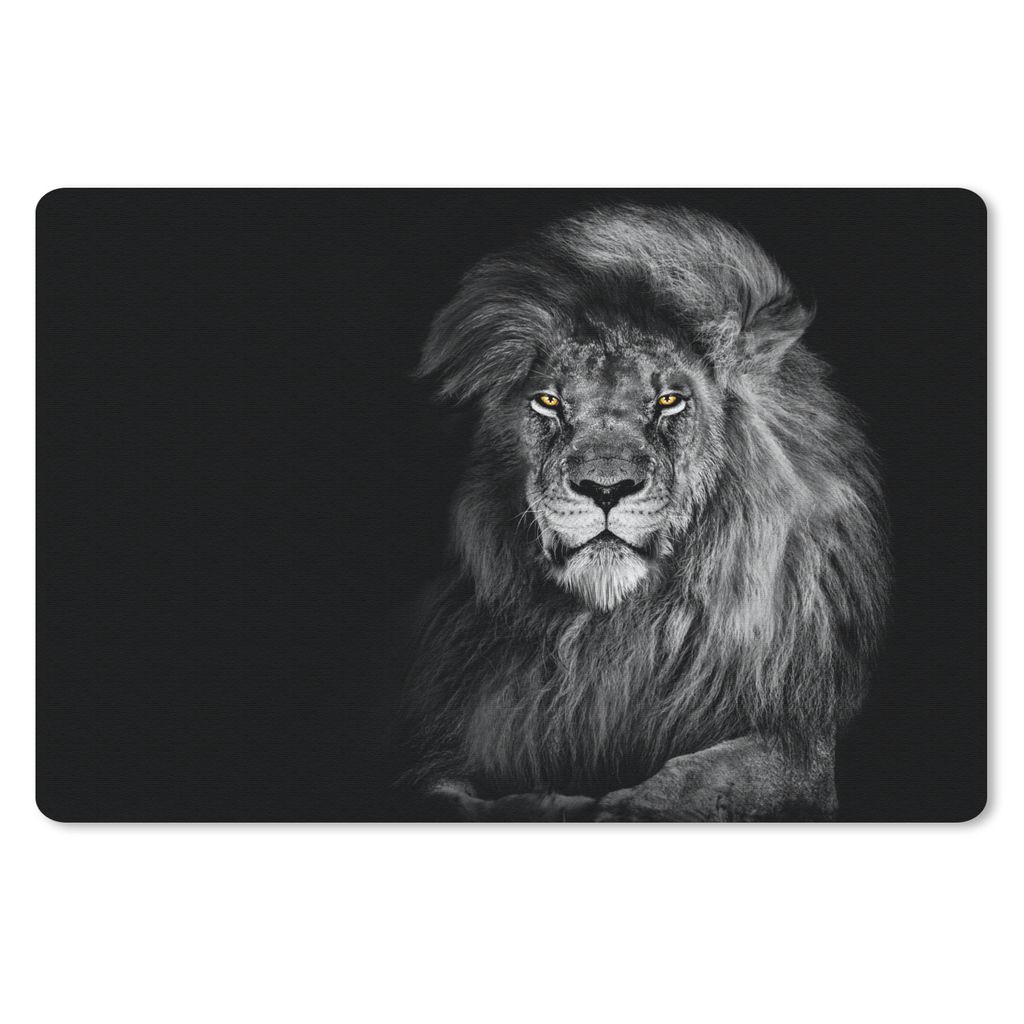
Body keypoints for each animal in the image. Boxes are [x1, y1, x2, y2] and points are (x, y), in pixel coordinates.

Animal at [401, 204, 890, 821]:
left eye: (668, 400)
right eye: (549, 401)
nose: (605, 488)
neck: (613, 628)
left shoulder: (801, 744)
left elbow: (695, 780)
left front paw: (619, 806)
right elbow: (448, 793)